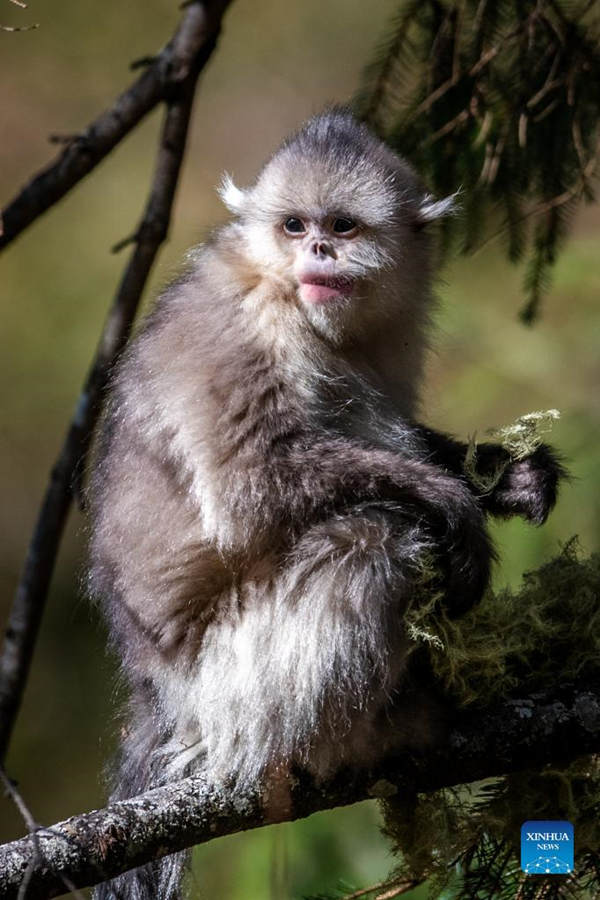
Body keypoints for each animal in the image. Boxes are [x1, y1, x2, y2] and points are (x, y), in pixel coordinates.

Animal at [88, 109, 565, 898]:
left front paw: (507, 477)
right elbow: (251, 485)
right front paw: (457, 505)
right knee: (375, 536)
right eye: (293, 226)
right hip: (237, 683)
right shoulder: (250, 328)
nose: (316, 249)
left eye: (342, 226)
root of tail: (157, 691)